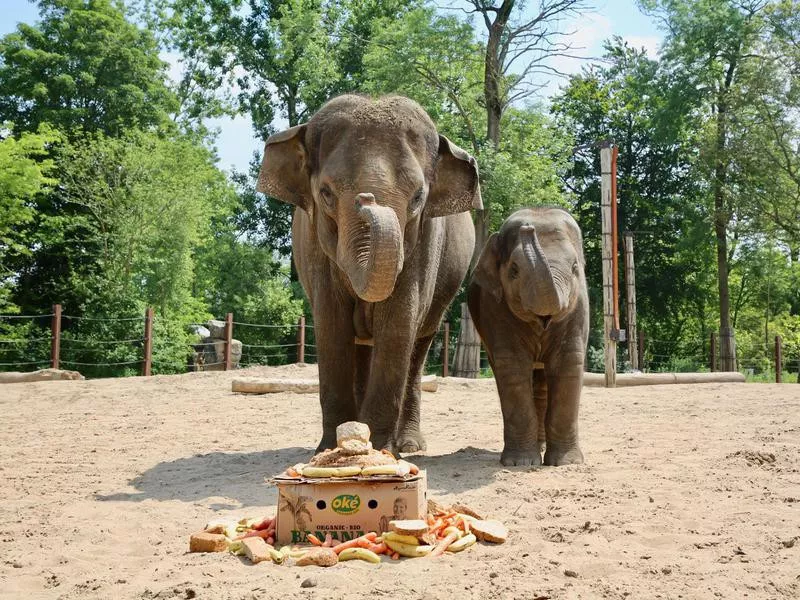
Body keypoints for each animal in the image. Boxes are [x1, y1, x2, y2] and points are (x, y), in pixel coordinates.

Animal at [258, 94, 482, 452]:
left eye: (418, 197)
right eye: (326, 193)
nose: (367, 199)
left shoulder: (425, 246)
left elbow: (398, 323)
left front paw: (379, 448)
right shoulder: (315, 249)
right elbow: (331, 325)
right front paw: (330, 447)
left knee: (418, 347)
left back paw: (409, 445)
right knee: (362, 345)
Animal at [468, 209, 588, 466]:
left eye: (575, 267)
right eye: (514, 269)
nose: (527, 229)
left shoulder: (579, 308)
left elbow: (568, 364)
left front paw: (566, 463)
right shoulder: (495, 308)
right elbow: (512, 367)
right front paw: (520, 463)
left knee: (541, 385)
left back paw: (542, 447)